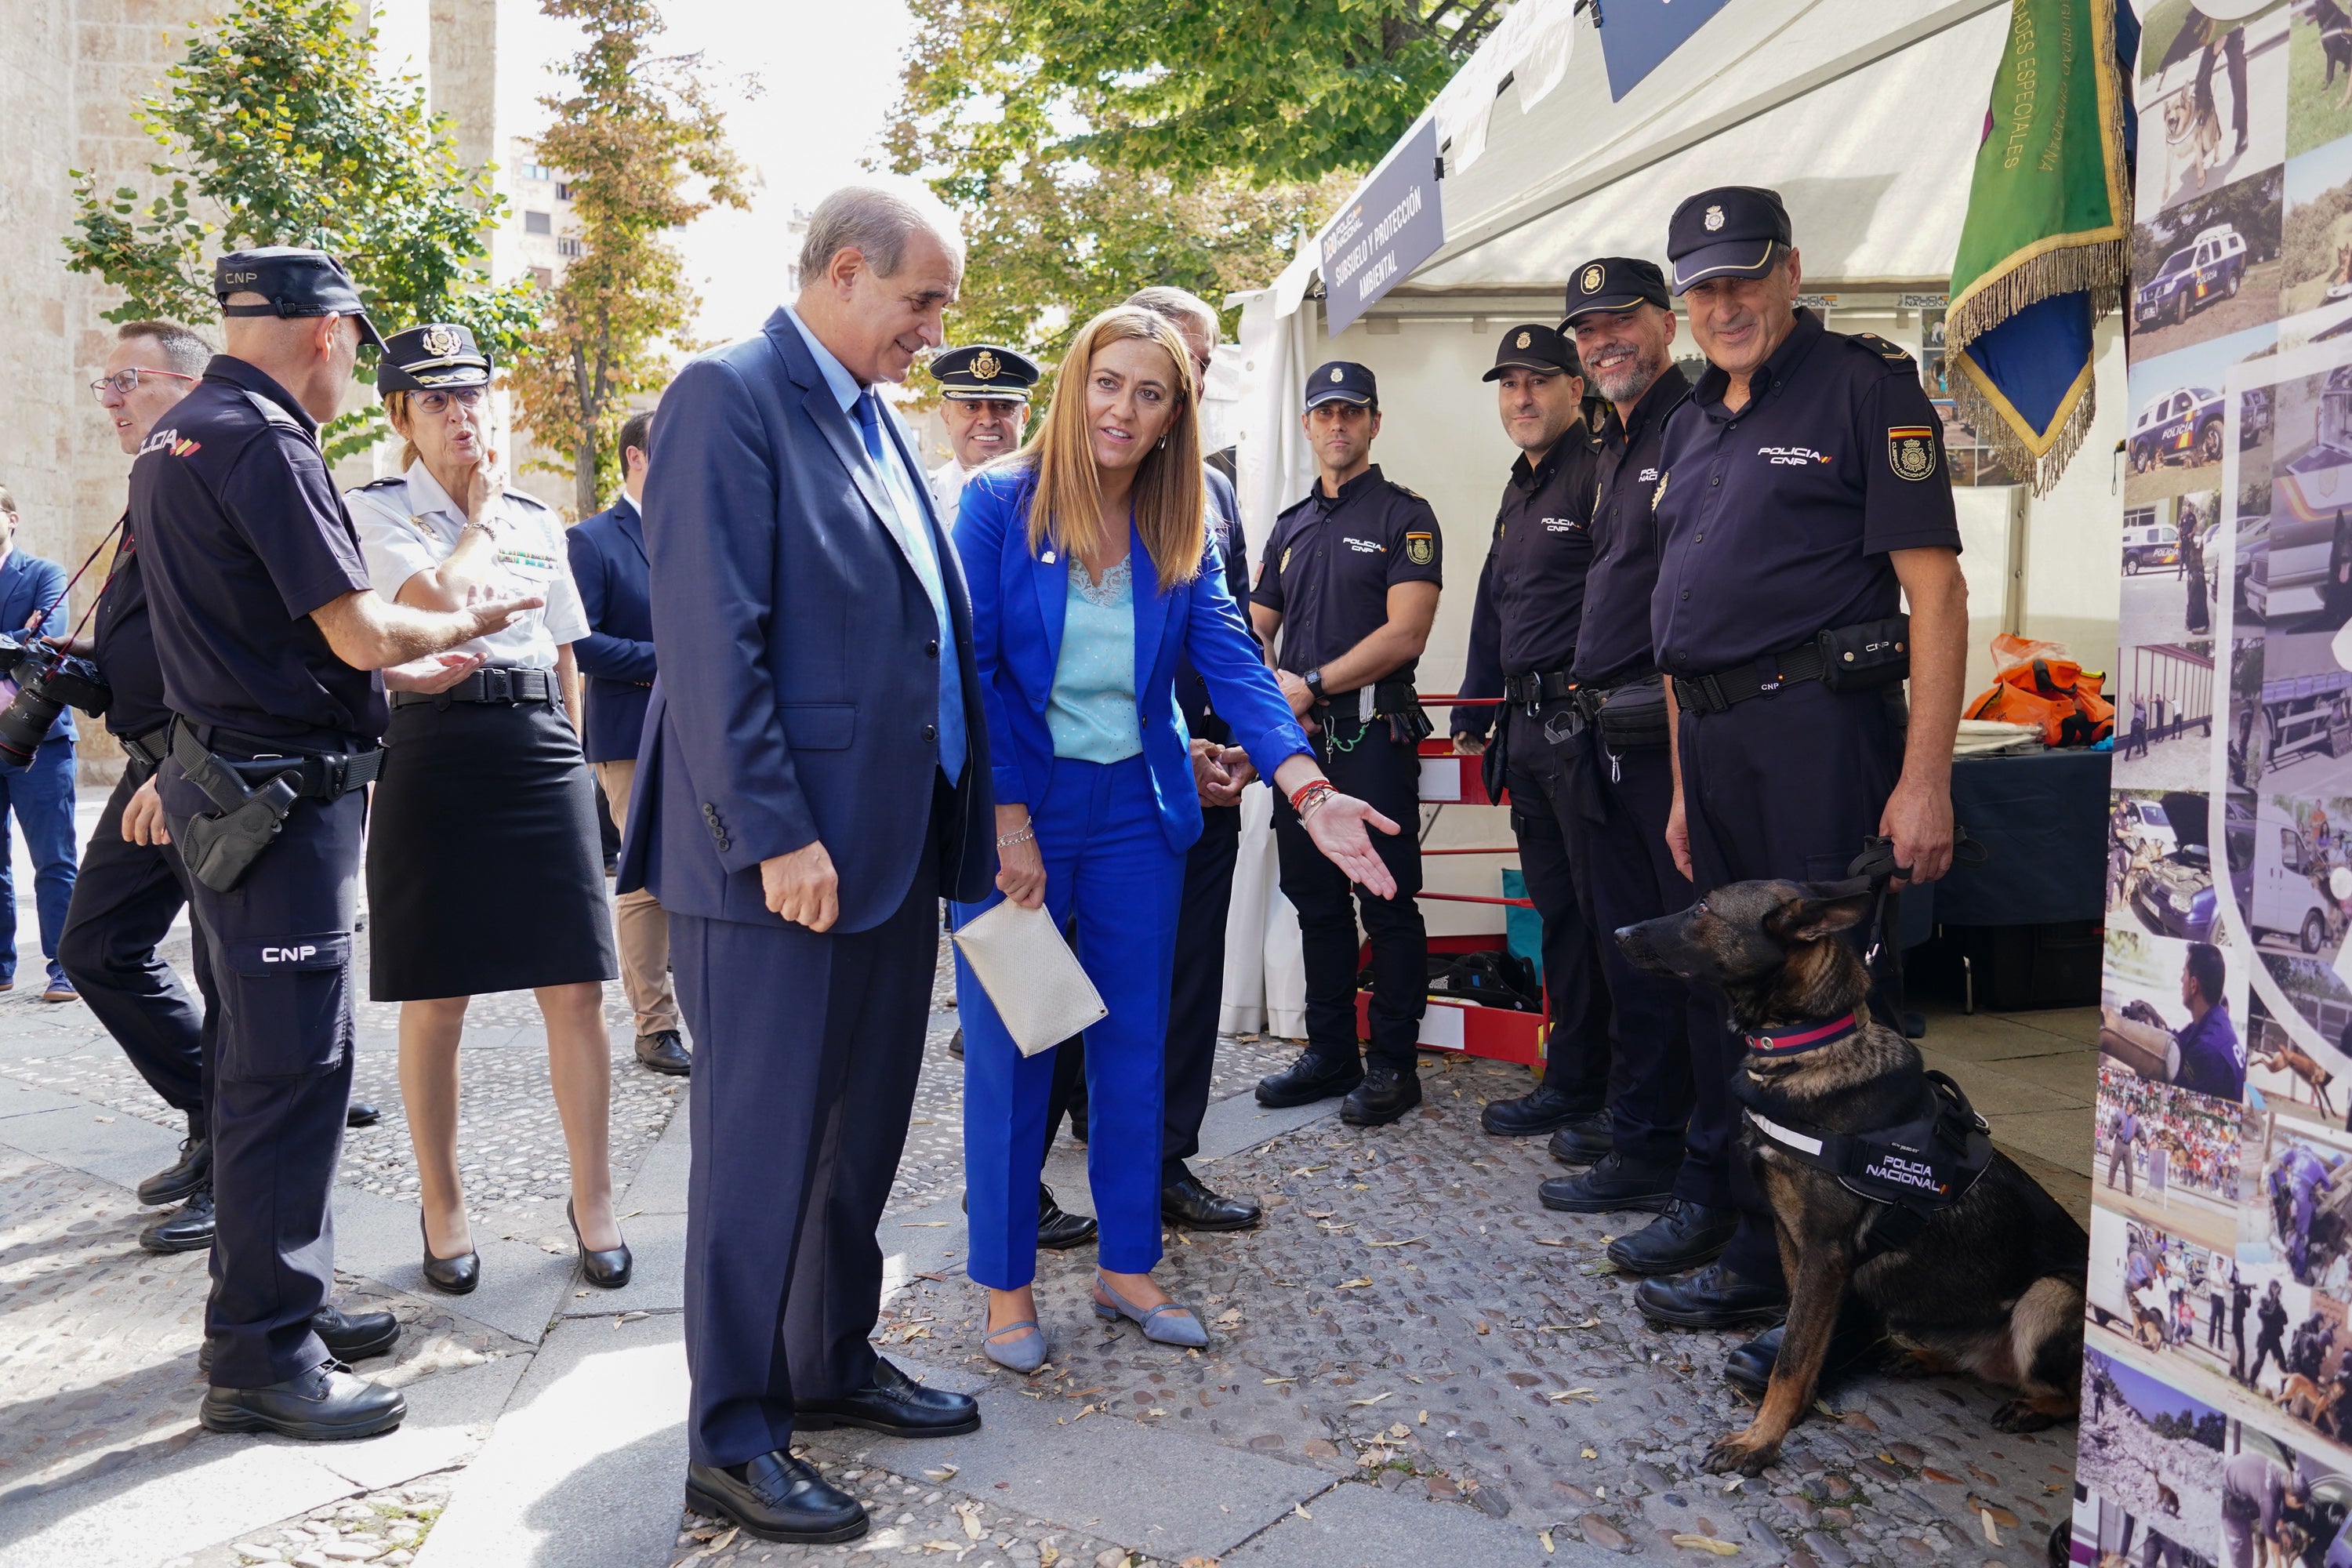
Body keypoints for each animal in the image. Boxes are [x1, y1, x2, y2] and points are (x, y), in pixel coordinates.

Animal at [1618, 879, 2098, 1476]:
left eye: (1703, 908)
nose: (1617, 933)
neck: (1805, 1050)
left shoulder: (1826, 1252)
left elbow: (1792, 1356)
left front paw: (1760, 1441)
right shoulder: (1793, 1241)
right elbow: (1802, 1343)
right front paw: (1795, 1413)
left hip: (2047, 1295)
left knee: (2070, 1396)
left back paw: (2034, 1406)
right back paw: (1924, 1356)